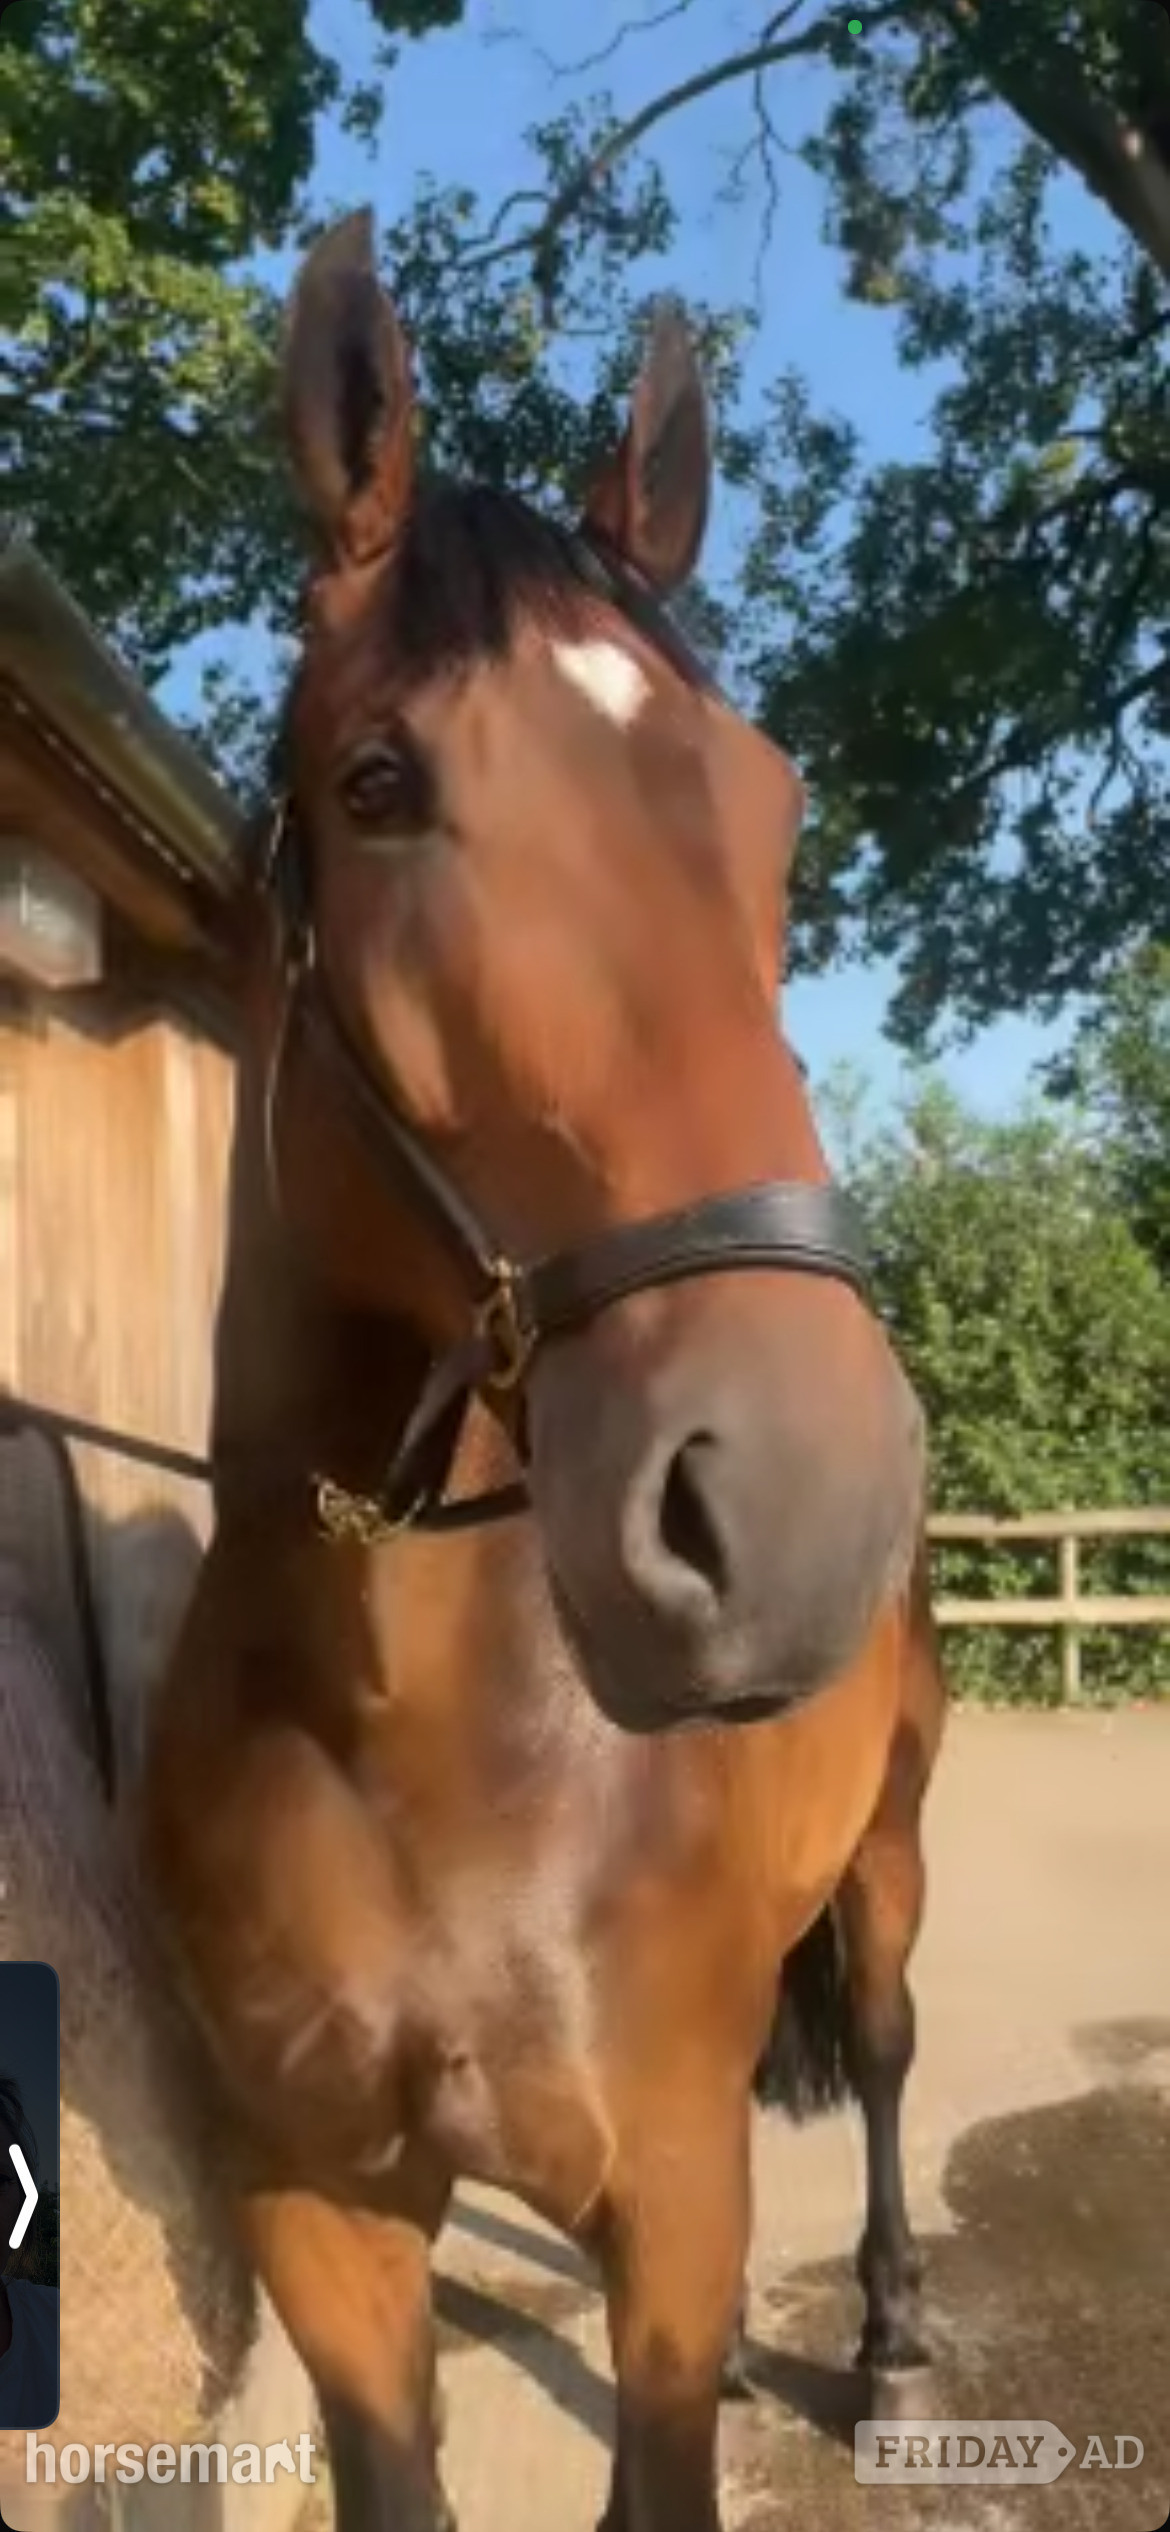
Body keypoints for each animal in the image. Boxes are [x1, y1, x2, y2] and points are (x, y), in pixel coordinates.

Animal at [142, 207, 947, 2532]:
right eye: (380, 783)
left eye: (774, 808)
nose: (792, 1500)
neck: (434, 1756)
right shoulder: (321, 2214)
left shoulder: (668, 2214)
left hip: (886, 1858)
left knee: (880, 2047)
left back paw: (882, 2348)